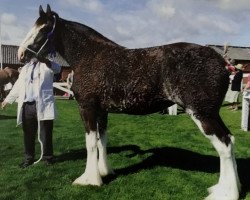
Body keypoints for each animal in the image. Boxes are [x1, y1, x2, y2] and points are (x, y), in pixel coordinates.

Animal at [17, 5, 240, 200]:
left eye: (44, 29)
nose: (21, 54)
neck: (90, 56)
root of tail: (223, 63)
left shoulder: (87, 108)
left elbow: (91, 143)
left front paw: (89, 180)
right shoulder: (102, 111)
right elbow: (102, 141)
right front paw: (104, 172)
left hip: (202, 114)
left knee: (223, 144)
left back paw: (227, 193)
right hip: (212, 113)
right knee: (229, 140)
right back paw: (223, 187)